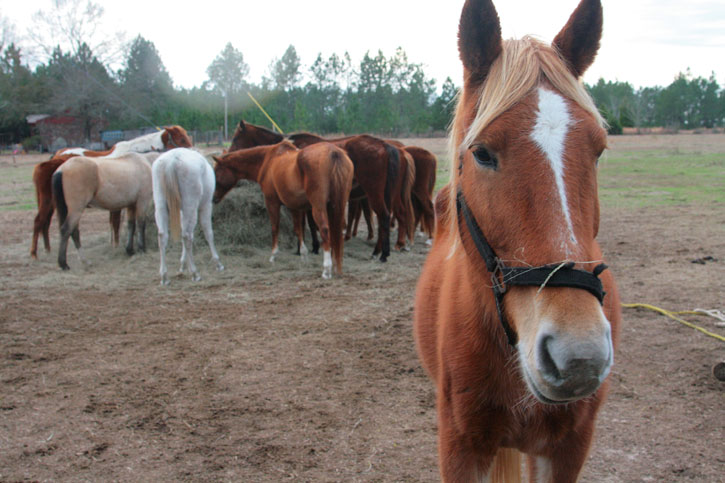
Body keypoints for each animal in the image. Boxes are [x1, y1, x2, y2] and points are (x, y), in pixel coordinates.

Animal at [31, 126, 192, 258]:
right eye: (181, 139)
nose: (193, 155)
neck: (141, 159)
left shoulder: (127, 203)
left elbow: (127, 224)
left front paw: (125, 247)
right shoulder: (132, 202)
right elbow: (124, 223)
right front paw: (126, 246)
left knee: (50, 224)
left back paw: (50, 251)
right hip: (56, 204)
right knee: (42, 222)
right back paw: (37, 254)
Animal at [152, 148, 224, 285]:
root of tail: (172, 160)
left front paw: (182, 265)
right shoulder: (206, 206)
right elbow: (208, 233)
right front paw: (218, 263)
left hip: (161, 205)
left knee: (163, 236)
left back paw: (164, 277)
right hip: (191, 206)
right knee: (187, 236)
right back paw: (195, 273)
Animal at [212, 141, 354, 279]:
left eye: (216, 172)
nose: (213, 198)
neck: (269, 160)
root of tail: (333, 152)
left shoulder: (272, 203)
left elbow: (275, 228)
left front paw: (273, 256)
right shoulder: (294, 206)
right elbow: (298, 230)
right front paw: (303, 255)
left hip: (318, 207)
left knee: (325, 231)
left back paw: (326, 270)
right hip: (336, 205)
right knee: (337, 231)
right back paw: (336, 267)